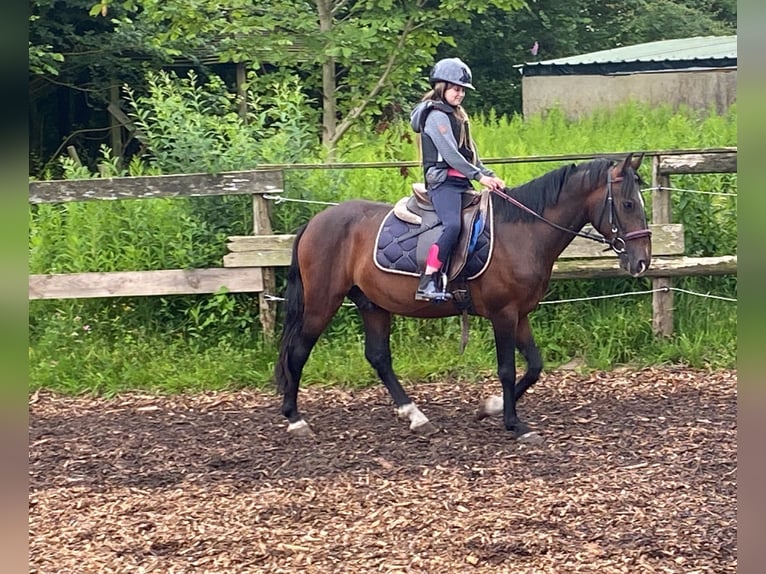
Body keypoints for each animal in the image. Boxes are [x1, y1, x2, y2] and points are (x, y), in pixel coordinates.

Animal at [272, 151, 652, 444]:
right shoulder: (503, 313)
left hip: (372, 303)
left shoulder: (521, 314)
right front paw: (515, 424)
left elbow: (534, 366)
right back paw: (295, 419)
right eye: (628, 203)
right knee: (299, 352)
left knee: (378, 357)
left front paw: (491, 408)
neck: (523, 231)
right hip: (322, 303)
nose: (642, 261)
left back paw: (415, 415)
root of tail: (316, 222)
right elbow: (507, 369)